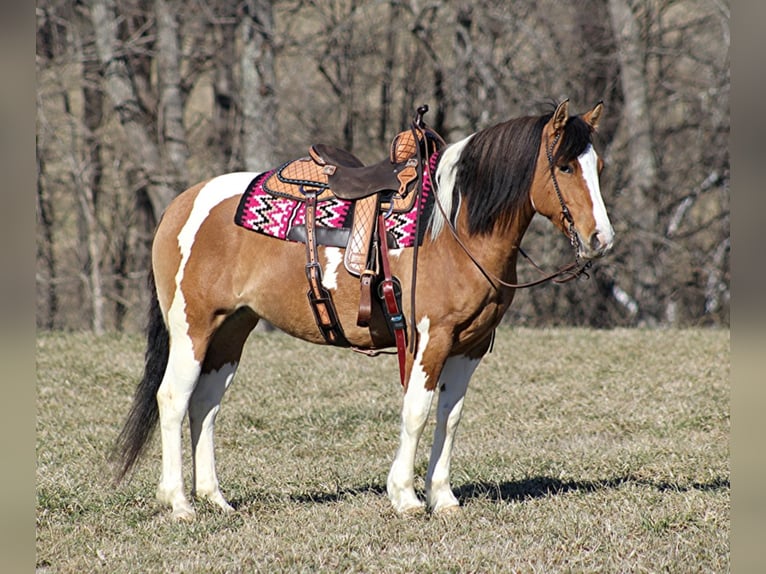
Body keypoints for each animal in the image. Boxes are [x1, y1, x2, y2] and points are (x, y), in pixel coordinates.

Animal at [112, 100, 616, 520]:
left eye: (599, 167)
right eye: (565, 165)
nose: (601, 239)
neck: (453, 227)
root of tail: (181, 204)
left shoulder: (468, 347)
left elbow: (449, 417)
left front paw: (443, 498)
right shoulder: (430, 340)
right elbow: (417, 412)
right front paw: (406, 497)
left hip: (231, 331)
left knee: (205, 404)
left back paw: (215, 499)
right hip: (192, 329)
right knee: (172, 399)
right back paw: (179, 503)